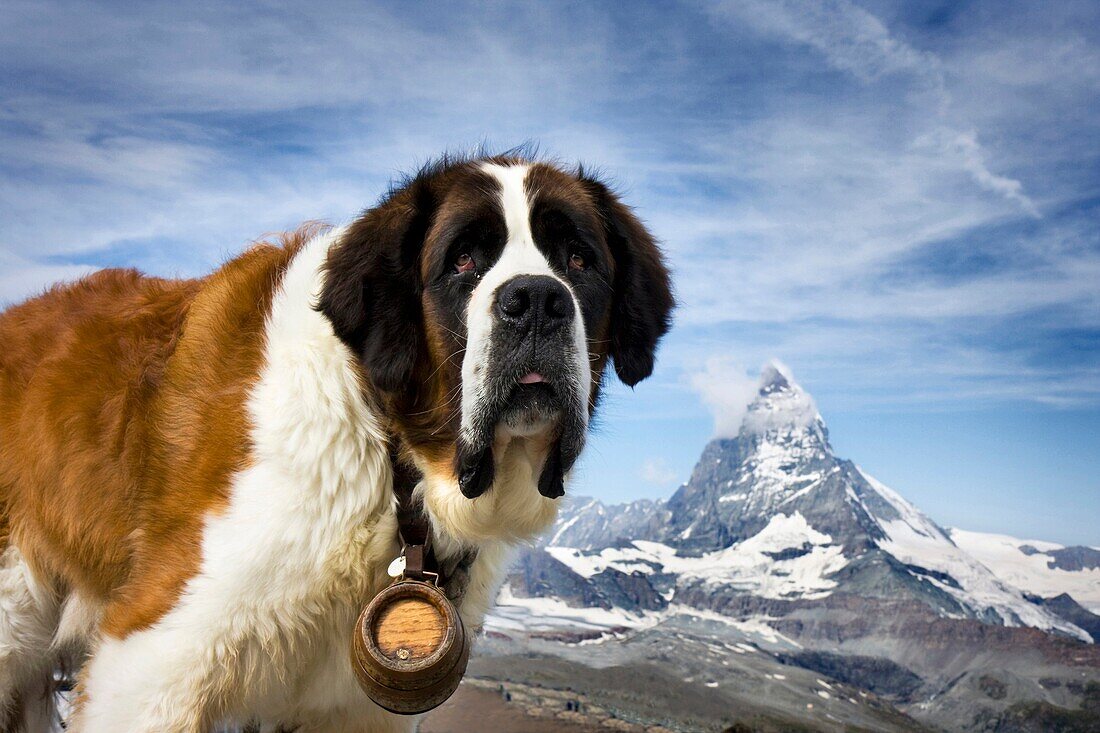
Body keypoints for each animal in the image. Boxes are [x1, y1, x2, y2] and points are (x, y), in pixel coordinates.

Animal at [0, 150, 668, 726]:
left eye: (578, 260)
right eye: (462, 261)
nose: (536, 299)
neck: (391, 463)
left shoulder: (358, 710)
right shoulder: (149, 662)